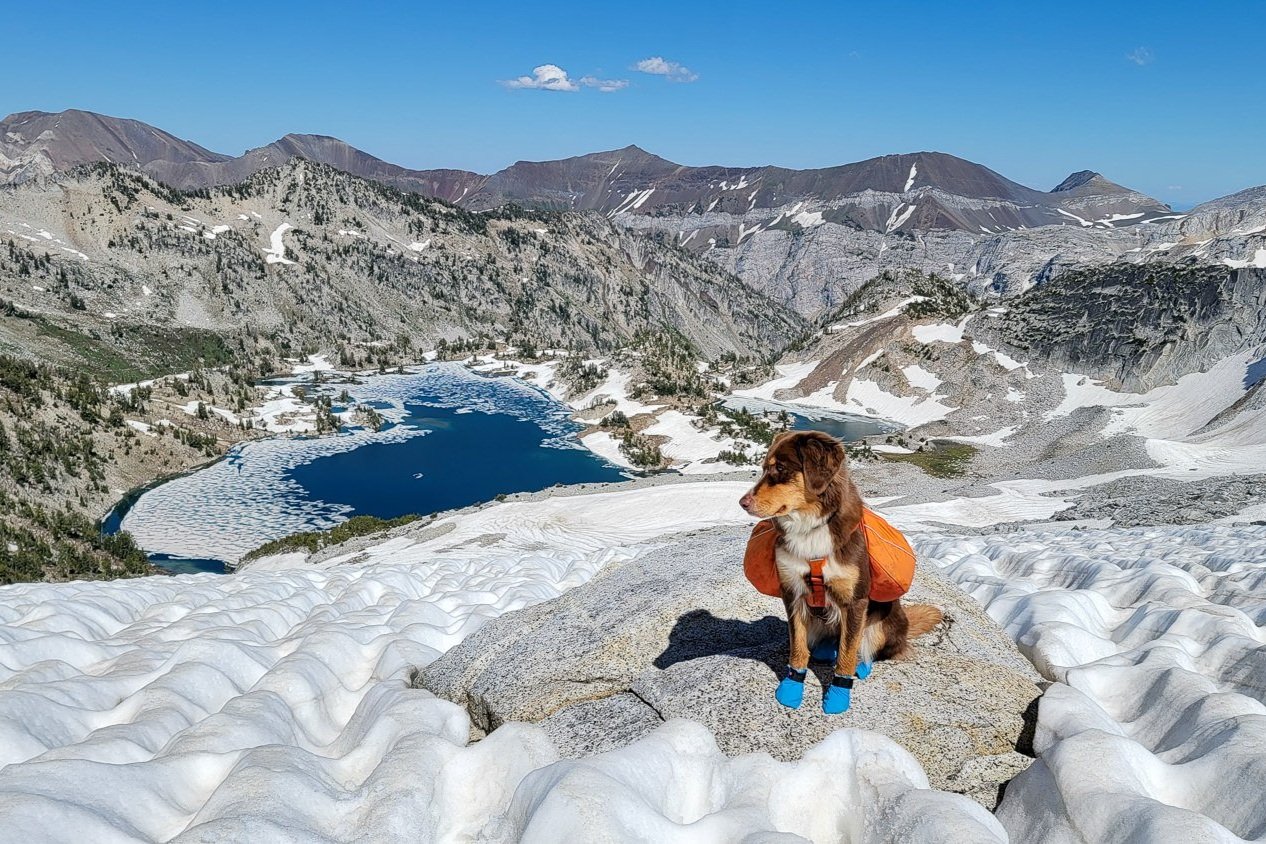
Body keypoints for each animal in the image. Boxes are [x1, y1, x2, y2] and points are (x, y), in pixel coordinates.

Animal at [734, 430, 941, 713]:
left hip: (882, 621)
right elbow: (798, 647)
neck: (810, 528)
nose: (742, 502)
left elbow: (847, 653)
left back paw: (862, 664)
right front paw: (792, 686)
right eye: (764, 467)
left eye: (780, 468)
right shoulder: (792, 594)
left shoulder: (855, 601)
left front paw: (838, 694)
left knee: (867, 647)